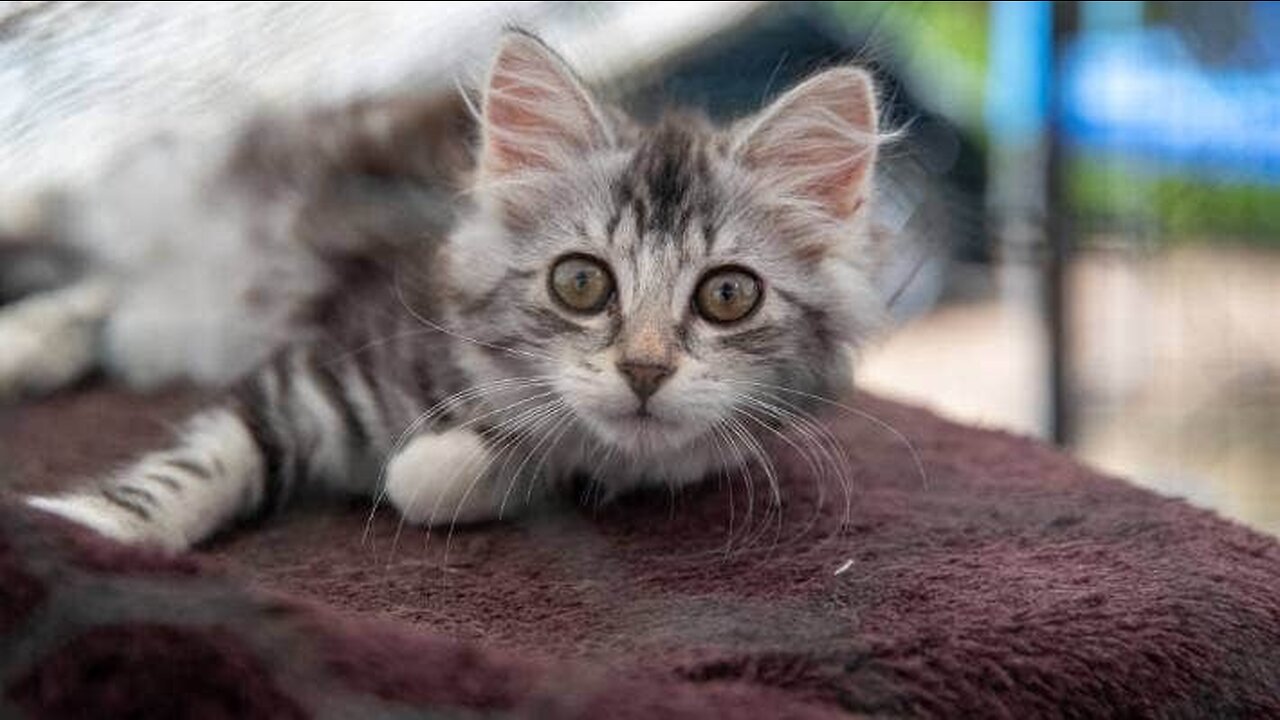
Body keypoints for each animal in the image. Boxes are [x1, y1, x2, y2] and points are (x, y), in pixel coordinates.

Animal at [20, 32, 885, 548]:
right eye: (581, 283)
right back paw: (25, 339)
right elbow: (198, 468)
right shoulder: (320, 367)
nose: (644, 371)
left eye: (727, 297)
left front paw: (430, 464)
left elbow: (457, 475)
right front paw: (81, 534)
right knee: (97, 280)